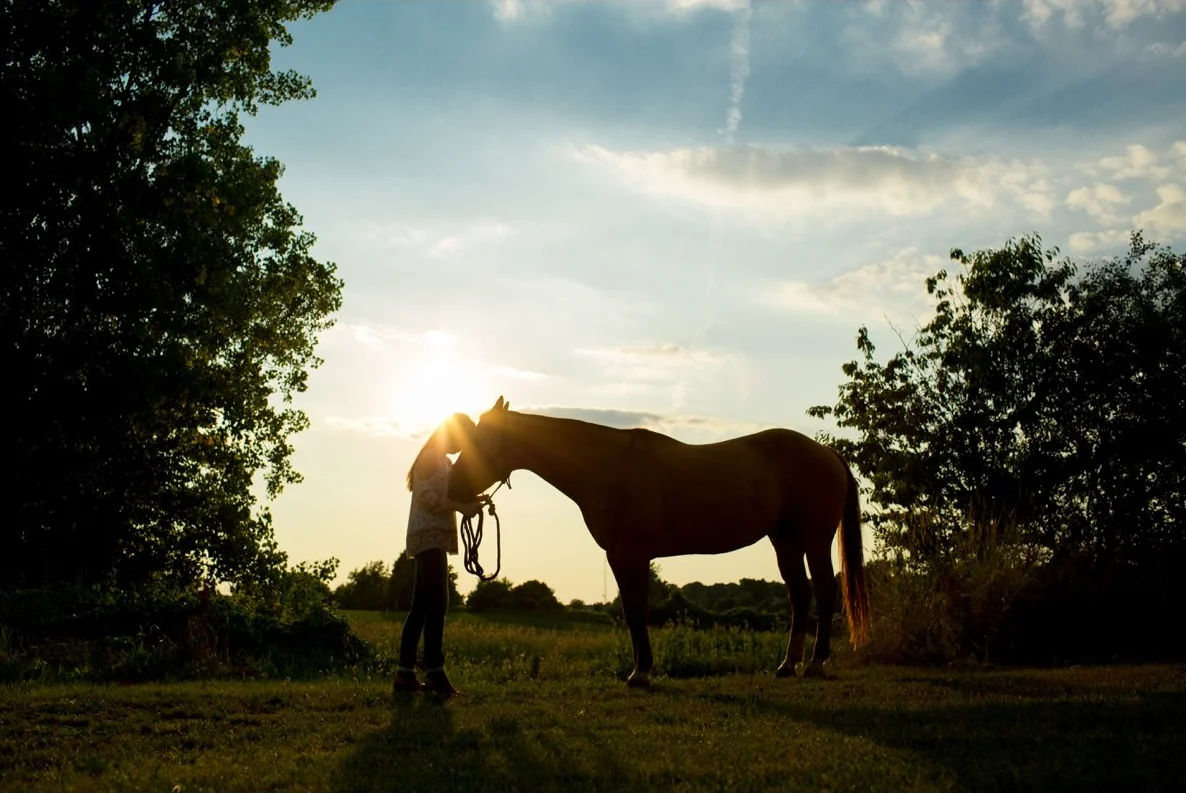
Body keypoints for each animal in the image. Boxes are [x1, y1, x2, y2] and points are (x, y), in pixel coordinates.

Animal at [447, 396, 870, 687]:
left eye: (483, 439)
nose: (453, 486)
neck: (606, 467)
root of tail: (826, 452)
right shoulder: (625, 557)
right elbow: (633, 611)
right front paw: (641, 670)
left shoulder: (628, 554)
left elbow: (635, 612)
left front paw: (641, 673)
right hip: (785, 541)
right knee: (800, 595)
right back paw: (787, 665)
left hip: (814, 540)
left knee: (824, 592)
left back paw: (815, 664)